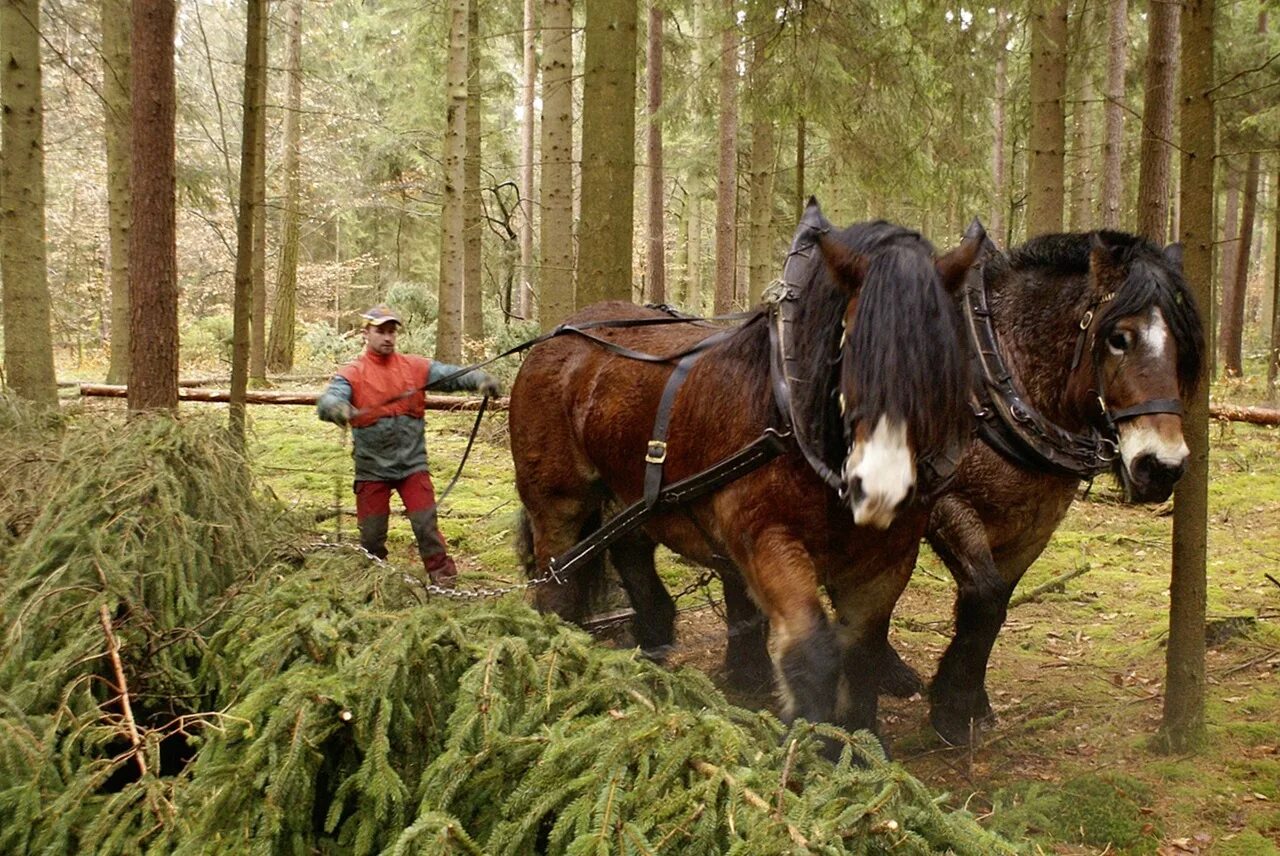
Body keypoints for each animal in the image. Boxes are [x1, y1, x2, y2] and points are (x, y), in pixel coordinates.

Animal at [506, 198, 977, 737]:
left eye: (944, 359)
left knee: (631, 554)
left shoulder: (890, 558)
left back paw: (650, 650)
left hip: (631, 494)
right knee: (557, 578)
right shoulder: (764, 537)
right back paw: (562, 659)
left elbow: (862, 657)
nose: (879, 490)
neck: (792, 415)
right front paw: (810, 743)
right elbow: (812, 651)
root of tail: (559, 333)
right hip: (557, 498)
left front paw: (856, 745)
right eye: (851, 346)